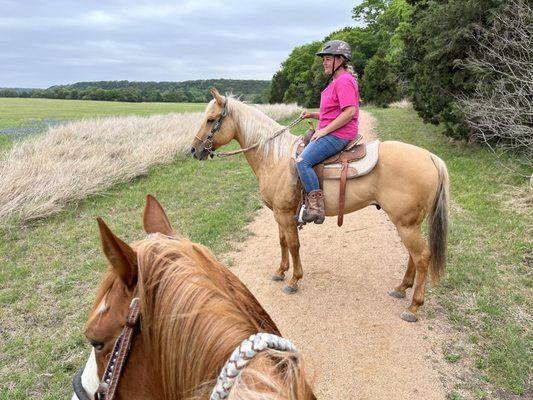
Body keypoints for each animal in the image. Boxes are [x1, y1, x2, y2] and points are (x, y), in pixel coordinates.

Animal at [189, 90, 446, 322]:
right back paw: (401, 288)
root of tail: (431, 157)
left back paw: (413, 307)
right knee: (413, 255)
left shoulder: (285, 214)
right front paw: (280, 272)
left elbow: (294, 245)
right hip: (408, 224)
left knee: (422, 256)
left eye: (211, 119)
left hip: (406, 224)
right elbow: (282, 242)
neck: (274, 159)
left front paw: (294, 280)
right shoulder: (279, 214)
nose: (193, 150)